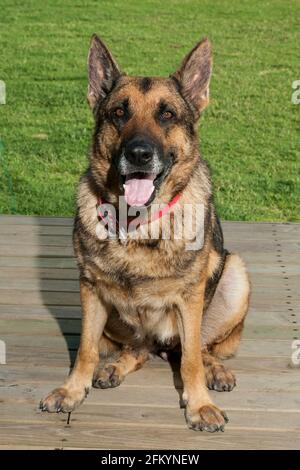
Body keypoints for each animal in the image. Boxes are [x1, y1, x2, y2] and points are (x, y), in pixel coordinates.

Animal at [40, 35, 251, 432]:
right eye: (119, 113)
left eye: (167, 115)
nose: (139, 154)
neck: (138, 225)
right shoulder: (90, 288)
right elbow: (85, 349)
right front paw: (72, 390)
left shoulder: (190, 298)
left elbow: (191, 360)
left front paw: (199, 404)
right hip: (117, 324)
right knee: (137, 348)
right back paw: (115, 367)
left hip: (234, 274)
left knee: (198, 348)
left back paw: (215, 371)